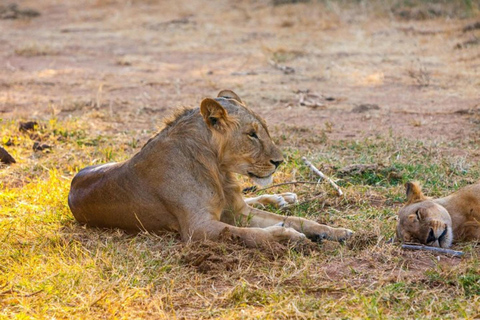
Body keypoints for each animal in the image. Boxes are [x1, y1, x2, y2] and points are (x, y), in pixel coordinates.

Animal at [67, 90, 352, 248]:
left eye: (264, 130)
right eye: (251, 134)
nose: (279, 162)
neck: (218, 169)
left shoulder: (238, 212)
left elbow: (299, 220)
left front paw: (336, 232)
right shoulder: (197, 228)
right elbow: (250, 234)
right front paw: (289, 237)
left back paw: (284, 197)